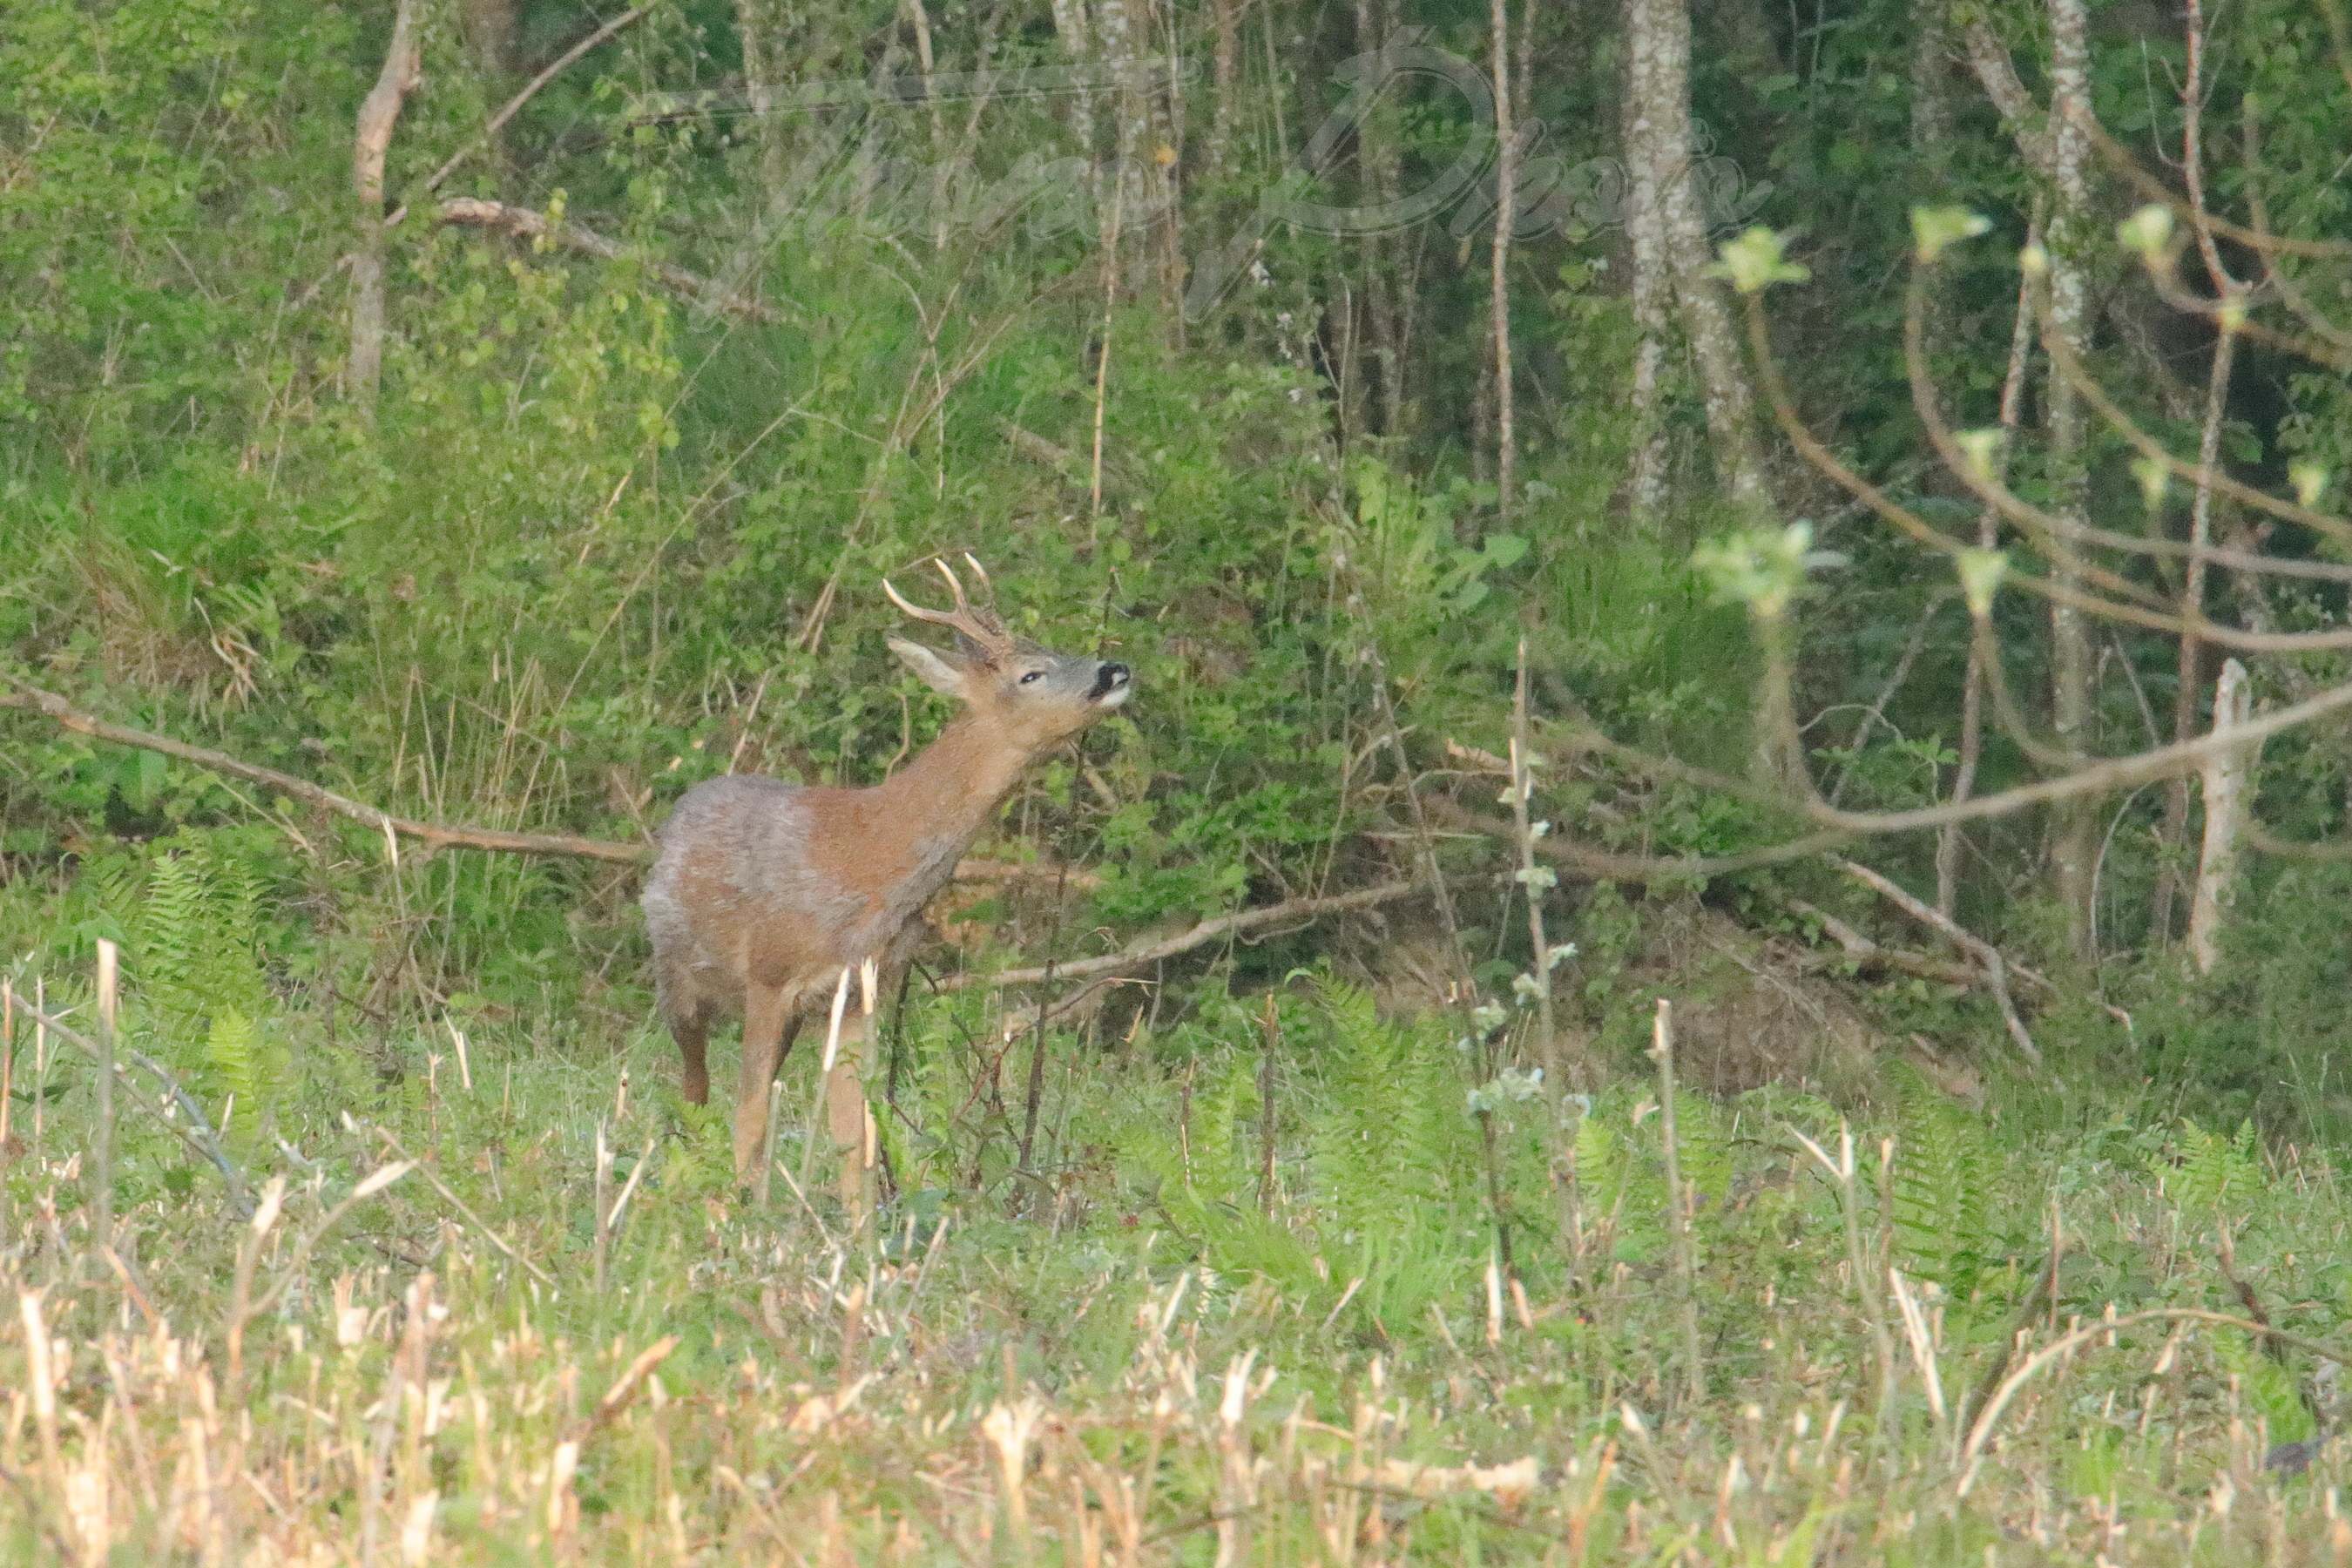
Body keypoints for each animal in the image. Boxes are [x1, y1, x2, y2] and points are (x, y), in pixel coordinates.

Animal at [639, 561, 1124, 1189]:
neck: (867, 860)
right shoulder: (770, 973)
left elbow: (858, 1139)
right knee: (695, 1093)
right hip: (678, 981)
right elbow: (748, 1119)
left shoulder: (861, 990)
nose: (1115, 670)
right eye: (1031, 673)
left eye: (1052, 650)